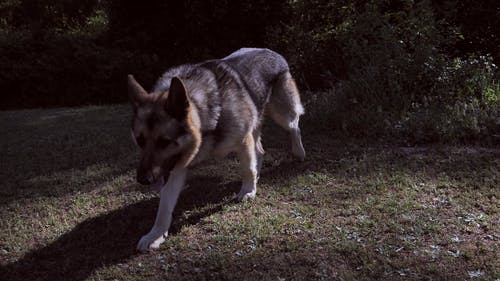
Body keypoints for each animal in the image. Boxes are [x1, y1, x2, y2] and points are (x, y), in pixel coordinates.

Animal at [128, 47, 304, 250]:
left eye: (164, 141)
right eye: (140, 140)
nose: (143, 180)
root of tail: (271, 52)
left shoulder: (242, 140)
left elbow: (246, 169)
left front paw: (248, 190)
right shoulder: (174, 167)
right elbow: (164, 207)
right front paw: (156, 234)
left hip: (282, 114)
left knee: (294, 126)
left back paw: (298, 152)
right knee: (260, 151)